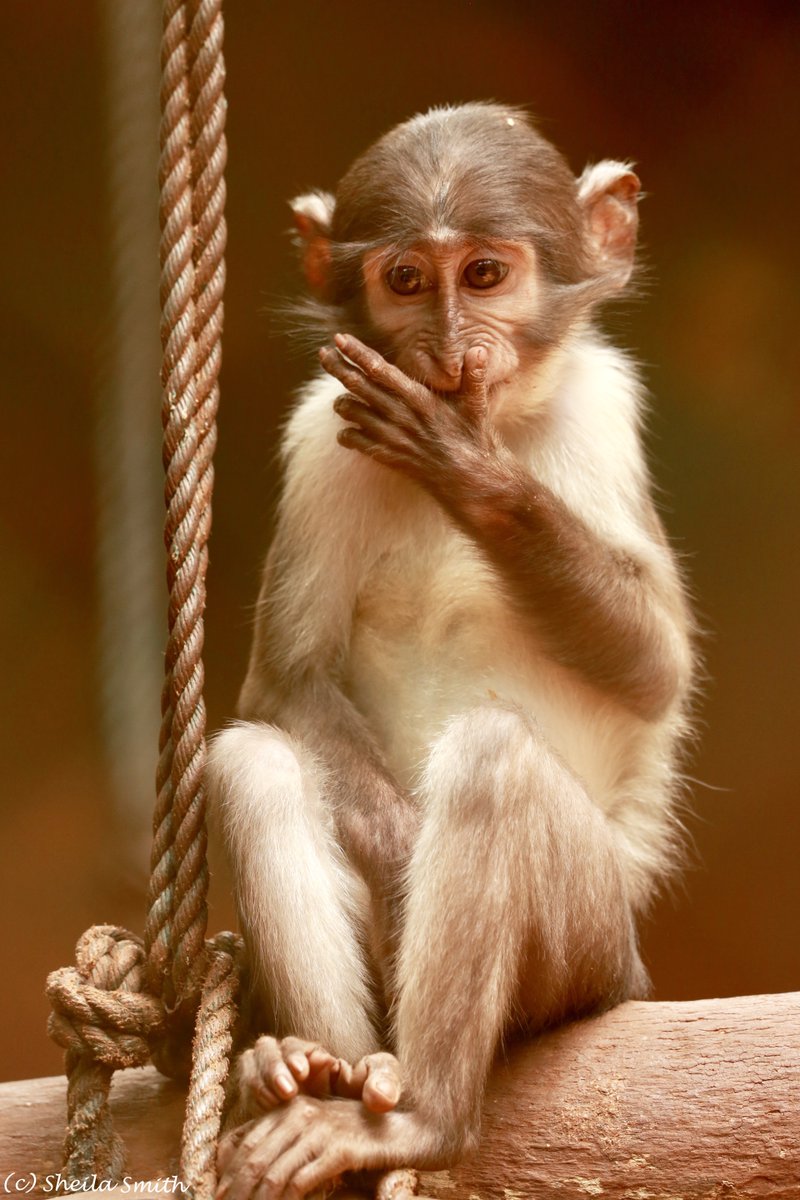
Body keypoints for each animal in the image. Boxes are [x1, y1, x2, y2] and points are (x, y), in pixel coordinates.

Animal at [207, 102, 694, 1197]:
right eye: (405, 280)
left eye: (481, 274)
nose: (447, 345)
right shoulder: (318, 436)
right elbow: (284, 680)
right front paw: (397, 865)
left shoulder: (603, 406)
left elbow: (655, 670)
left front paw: (466, 466)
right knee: (253, 764)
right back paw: (313, 1069)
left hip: (596, 953)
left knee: (491, 760)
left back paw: (422, 1115)